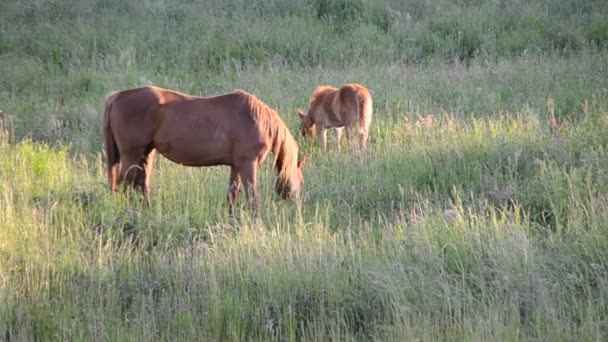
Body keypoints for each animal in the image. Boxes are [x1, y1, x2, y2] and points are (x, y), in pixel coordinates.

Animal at [102, 84, 308, 210]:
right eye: (301, 182)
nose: (296, 206)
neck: (257, 119)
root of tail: (117, 96)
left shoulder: (236, 166)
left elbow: (232, 194)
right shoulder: (248, 164)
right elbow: (252, 195)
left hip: (146, 154)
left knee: (139, 184)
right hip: (132, 154)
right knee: (124, 183)